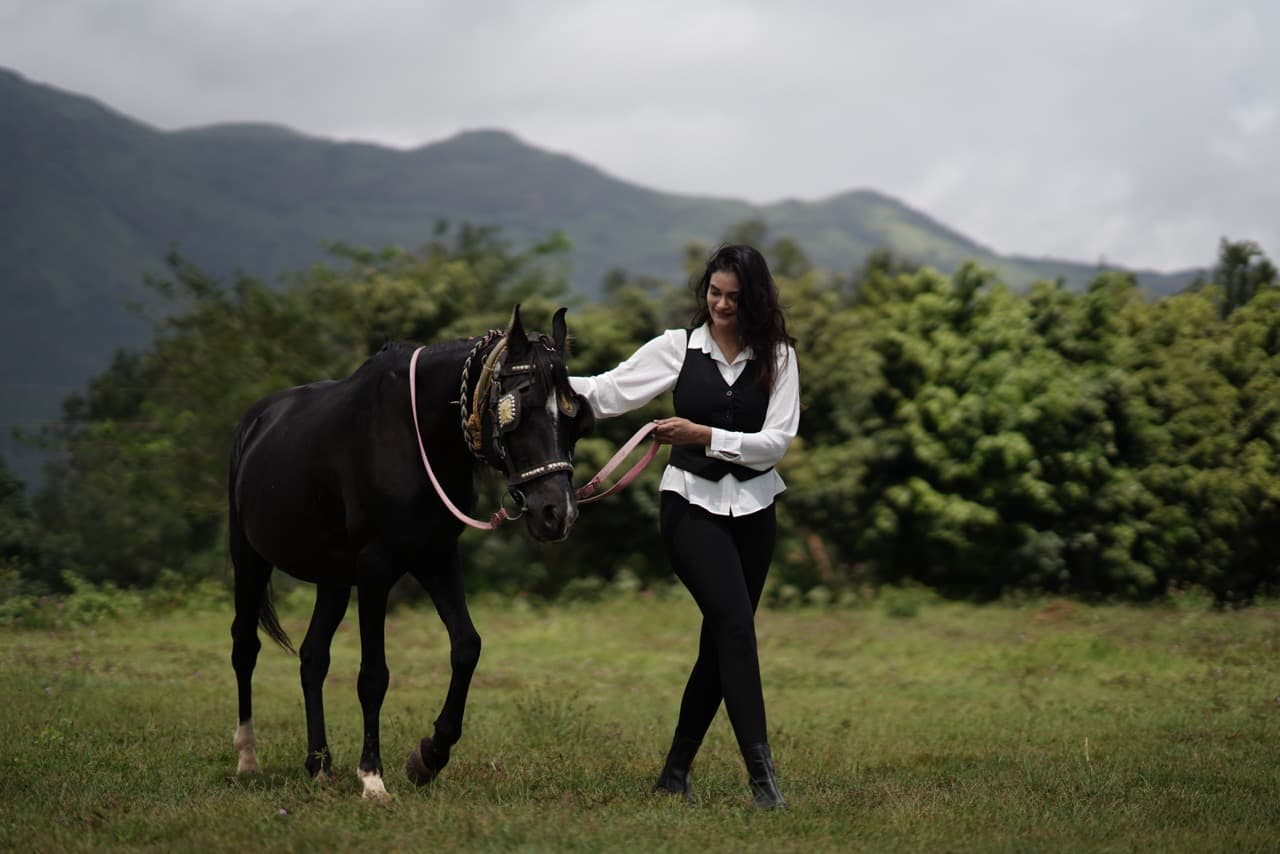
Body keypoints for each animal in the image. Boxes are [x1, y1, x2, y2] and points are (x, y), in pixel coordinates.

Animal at [226, 305, 593, 799]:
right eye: (521, 408)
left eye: (574, 419)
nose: (558, 513)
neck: (413, 434)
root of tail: (256, 420)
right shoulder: (375, 567)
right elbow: (373, 676)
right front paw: (372, 776)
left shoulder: (436, 556)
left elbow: (467, 647)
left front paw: (430, 755)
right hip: (249, 558)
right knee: (245, 647)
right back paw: (248, 757)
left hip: (333, 577)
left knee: (312, 657)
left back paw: (319, 763)